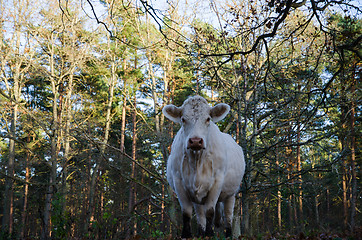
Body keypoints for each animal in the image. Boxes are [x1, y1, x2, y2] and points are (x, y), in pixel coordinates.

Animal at [163, 95, 245, 238]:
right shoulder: (179, 182)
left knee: (228, 215)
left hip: (231, 193)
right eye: (183, 119)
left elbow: (210, 211)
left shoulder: (217, 182)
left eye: (208, 119)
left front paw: (209, 234)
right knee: (200, 215)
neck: (197, 161)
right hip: (198, 197)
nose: (196, 141)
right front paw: (186, 235)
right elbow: (187, 212)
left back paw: (228, 234)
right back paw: (201, 233)